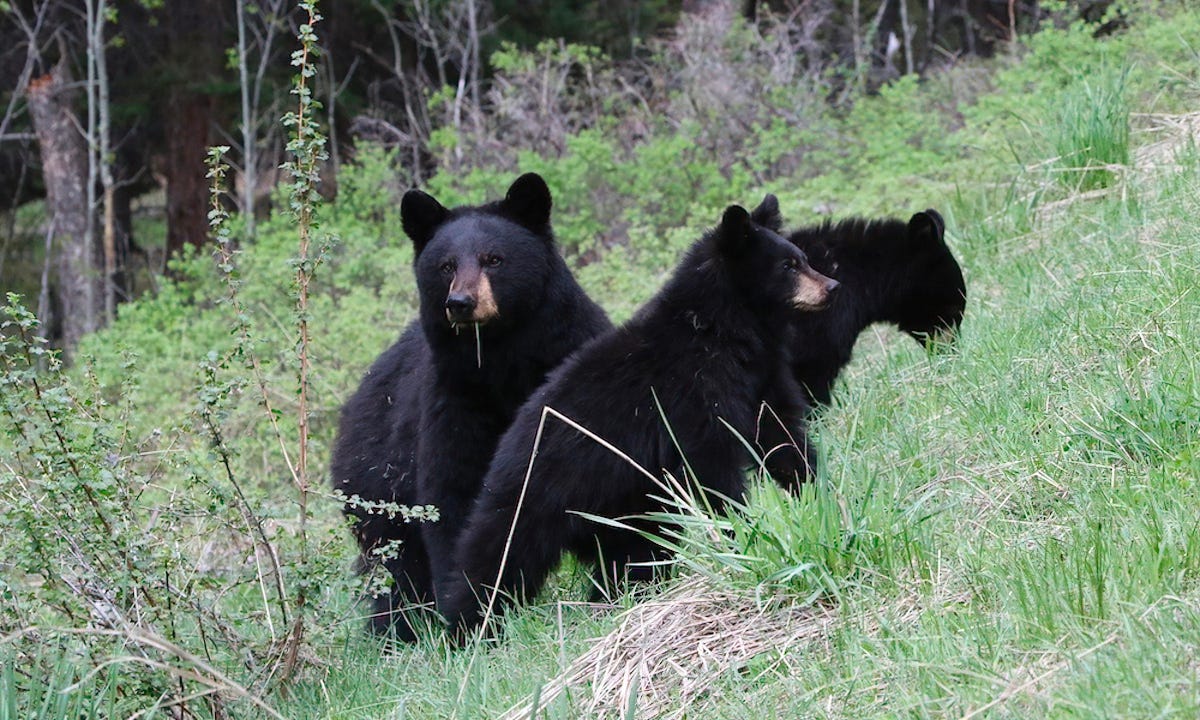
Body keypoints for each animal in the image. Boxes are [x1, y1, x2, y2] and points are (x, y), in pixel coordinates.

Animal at [330, 173, 612, 640]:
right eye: (445, 265)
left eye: (493, 259)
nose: (460, 303)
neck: (501, 361)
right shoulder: (455, 398)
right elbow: (453, 493)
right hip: (376, 480)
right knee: (397, 566)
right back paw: (397, 631)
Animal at [438, 195, 839, 638]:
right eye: (788, 265)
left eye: (803, 258)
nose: (831, 287)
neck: (727, 331)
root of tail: (507, 443)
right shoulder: (692, 395)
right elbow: (711, 468)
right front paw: (741, 535)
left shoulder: (762, 378)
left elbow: (782, 437)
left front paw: (819, 495)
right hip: (537, 491)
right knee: (496, 553)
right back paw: (466, 628)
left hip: (622, 504)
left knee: (633, 549)